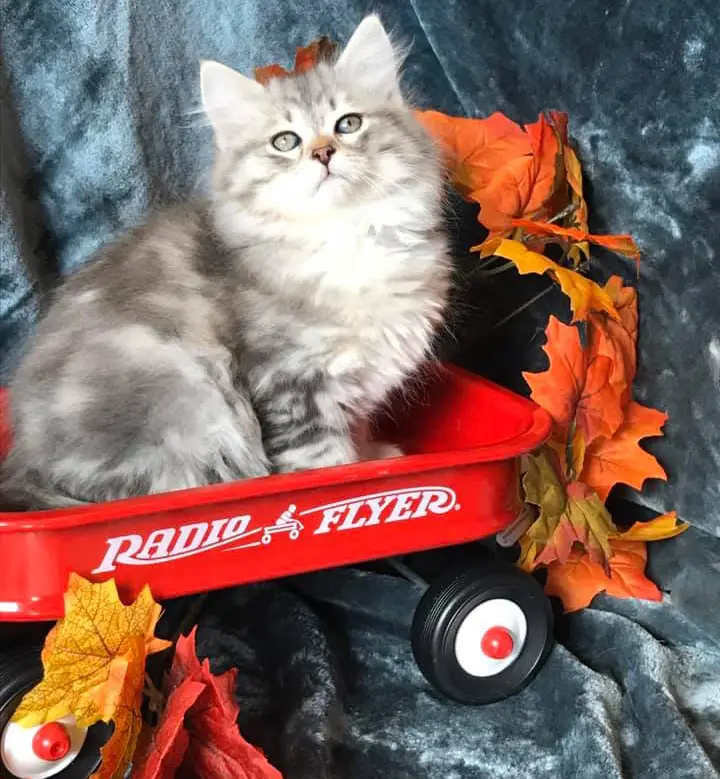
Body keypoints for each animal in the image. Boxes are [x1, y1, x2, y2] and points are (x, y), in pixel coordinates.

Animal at [0, 16, 450, 512]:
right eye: (286, 141)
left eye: (348, 124)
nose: (323, 153)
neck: (345, 236)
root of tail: (26, 463)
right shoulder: (291, 383)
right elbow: (322, 462)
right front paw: (347, 484)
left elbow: (356, 426)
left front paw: (373, 456)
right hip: (188, 403)